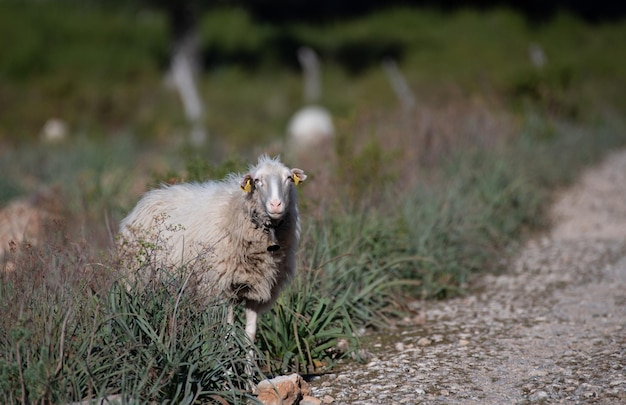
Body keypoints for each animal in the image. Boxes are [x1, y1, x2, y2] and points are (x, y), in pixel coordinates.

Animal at [116, 155, 306, 344]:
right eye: (257, 181)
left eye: (289, 178)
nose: (276, 204)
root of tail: (150, 196)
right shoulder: (221, 289)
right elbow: (229, 333)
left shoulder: (256, 291)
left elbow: (250, 335)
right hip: (136, 279)